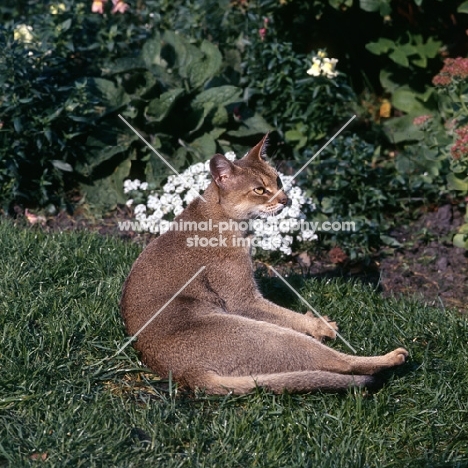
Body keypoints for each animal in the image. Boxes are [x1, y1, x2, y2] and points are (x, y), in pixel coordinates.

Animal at [120, 135, 410, 394]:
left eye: (278, 180)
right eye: (260, 189)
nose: (286, 200)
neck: (221, 216)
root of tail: (184, 374)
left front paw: (314, 320)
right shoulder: (243, 300)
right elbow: (285, 314)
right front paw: (319, 325)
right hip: (268, 336)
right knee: (340, 363)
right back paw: (392, 357)